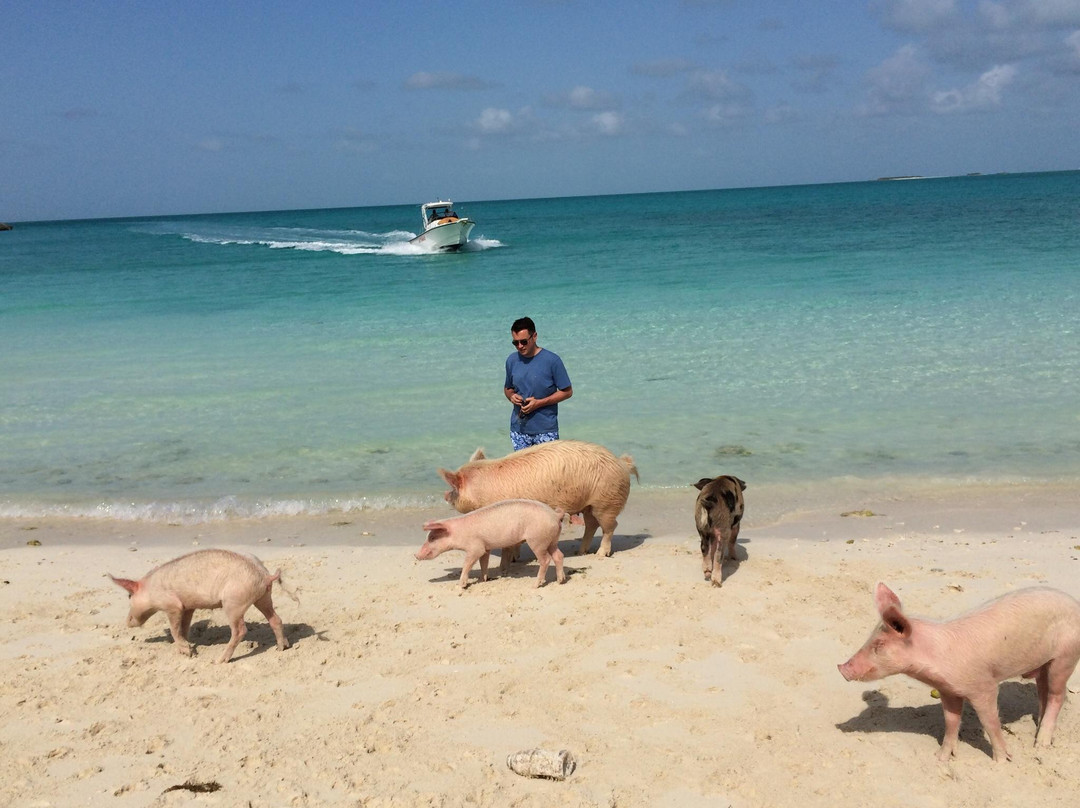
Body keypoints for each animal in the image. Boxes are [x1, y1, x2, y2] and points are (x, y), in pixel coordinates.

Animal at [109, 549, 291, 664]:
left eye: (129, 596)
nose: (127, 622)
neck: (150, 588)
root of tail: (264, 575)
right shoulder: (188, 606)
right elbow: (184, 627)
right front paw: (188, 647)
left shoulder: (173, 605)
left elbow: (175, 629)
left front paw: (187, 651)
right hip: (263, 597)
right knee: (276, 619)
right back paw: (282, 648)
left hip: (233, 602)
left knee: (240, 630)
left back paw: (219, 661)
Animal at [415, 498, 566, 589]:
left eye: (432, 538)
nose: (416, 555)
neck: (458, 533)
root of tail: (555, 515)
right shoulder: (485, 547)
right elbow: (484, 563)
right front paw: (483, 580)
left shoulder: (475, 547)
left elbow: (467, 564)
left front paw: (461, 585)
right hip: (552, 540)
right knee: (559, 555)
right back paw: (560, 581)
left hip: (537, 540)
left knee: (545, 559)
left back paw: (534, 585)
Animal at [438, 440, 638, 558]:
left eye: (454, 488)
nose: (444, 494)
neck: (479, 490)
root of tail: (622, 463)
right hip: (589, 505)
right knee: (591, 525)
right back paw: (580, 552)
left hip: (607, 502)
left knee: (610, 527)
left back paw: (600, 554)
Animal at [838, 582, 1080, 762]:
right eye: (869, 639)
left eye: (878, 645)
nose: (841, 667)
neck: (935, 661)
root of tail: (1075, 603)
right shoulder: (948, 690)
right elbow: (951, 721)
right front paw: (941, 758)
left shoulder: (984, 686)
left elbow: (990, 722)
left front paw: (1002, 760)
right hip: (1044, 664)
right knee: (1043, 692)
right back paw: (1038, 729)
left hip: (1065, 657)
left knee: (1058, 695)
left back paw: (1041, 744)